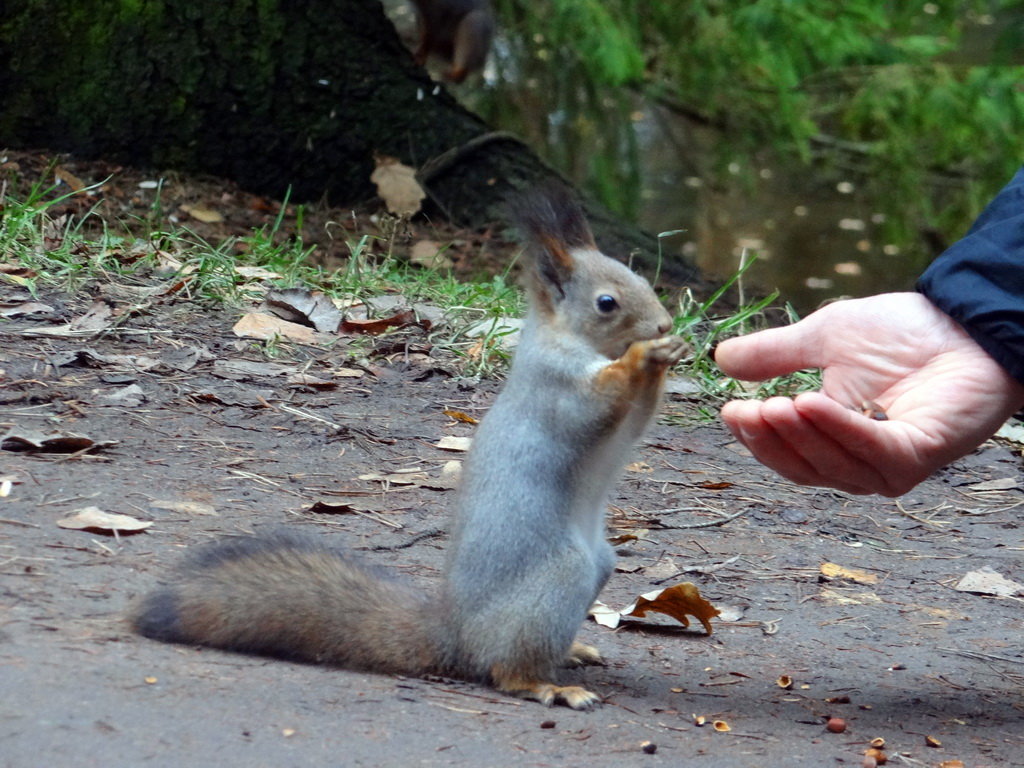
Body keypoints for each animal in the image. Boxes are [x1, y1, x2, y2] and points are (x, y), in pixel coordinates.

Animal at [130, 185, 688, 708]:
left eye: (642, 280)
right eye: (606, 303)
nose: (664, 324)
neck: (576, 344)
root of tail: (457, 639)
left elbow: (635, 421)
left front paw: (670, 352)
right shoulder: (556, 388)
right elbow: (595, 404)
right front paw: (645, 354)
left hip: (598, 565)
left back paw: (572, 651)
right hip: (558, 578)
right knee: (507, 670)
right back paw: (549, 684)